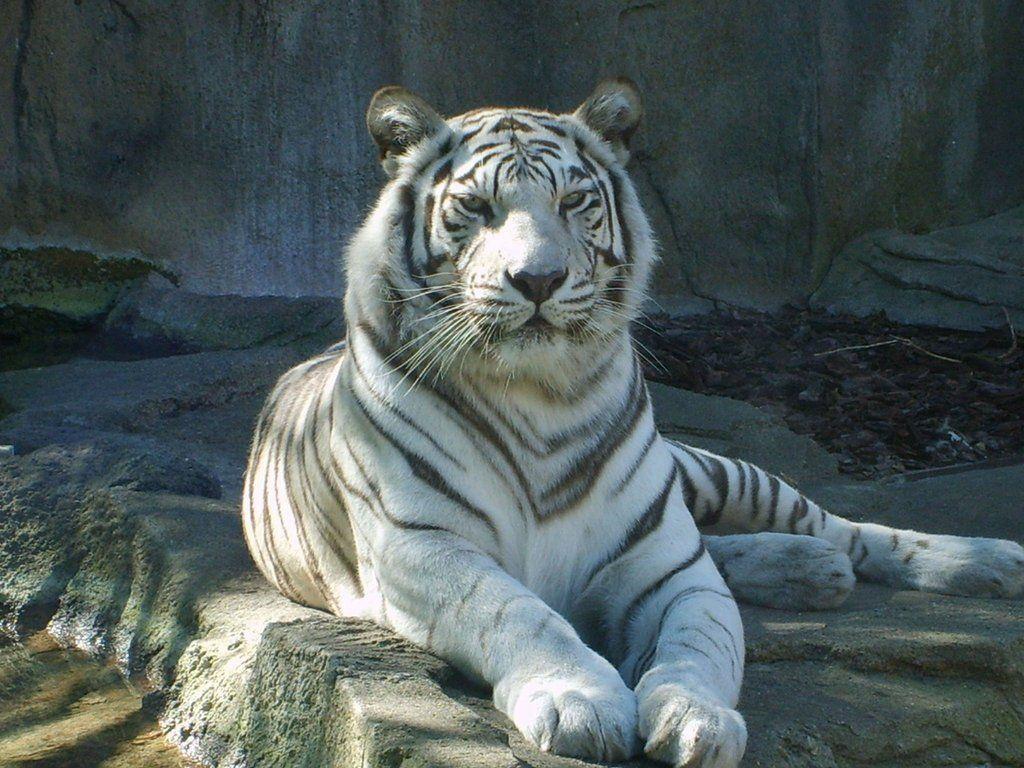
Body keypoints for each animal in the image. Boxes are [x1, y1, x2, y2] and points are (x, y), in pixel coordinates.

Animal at [241, 79, 1024, 767]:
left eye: (573, 201)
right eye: (478, 207)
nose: (537, 279)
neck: (536, 393)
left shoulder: (668, 566)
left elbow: (703, 643)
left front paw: (698, 719)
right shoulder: (422, 545)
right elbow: (521, 613)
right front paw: (580, 702)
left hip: (710, 472)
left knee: (838, 527)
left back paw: (980, 560)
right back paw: (814, 574)